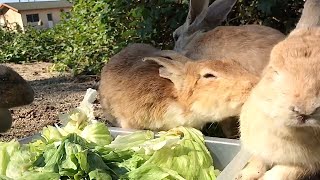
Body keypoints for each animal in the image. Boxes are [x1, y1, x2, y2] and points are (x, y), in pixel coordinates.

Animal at [238, 0, 320, 179]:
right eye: (274, 71)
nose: (304, 110)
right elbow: (257, 162)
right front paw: (244, 175)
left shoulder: (306, 166)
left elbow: (284, 173)